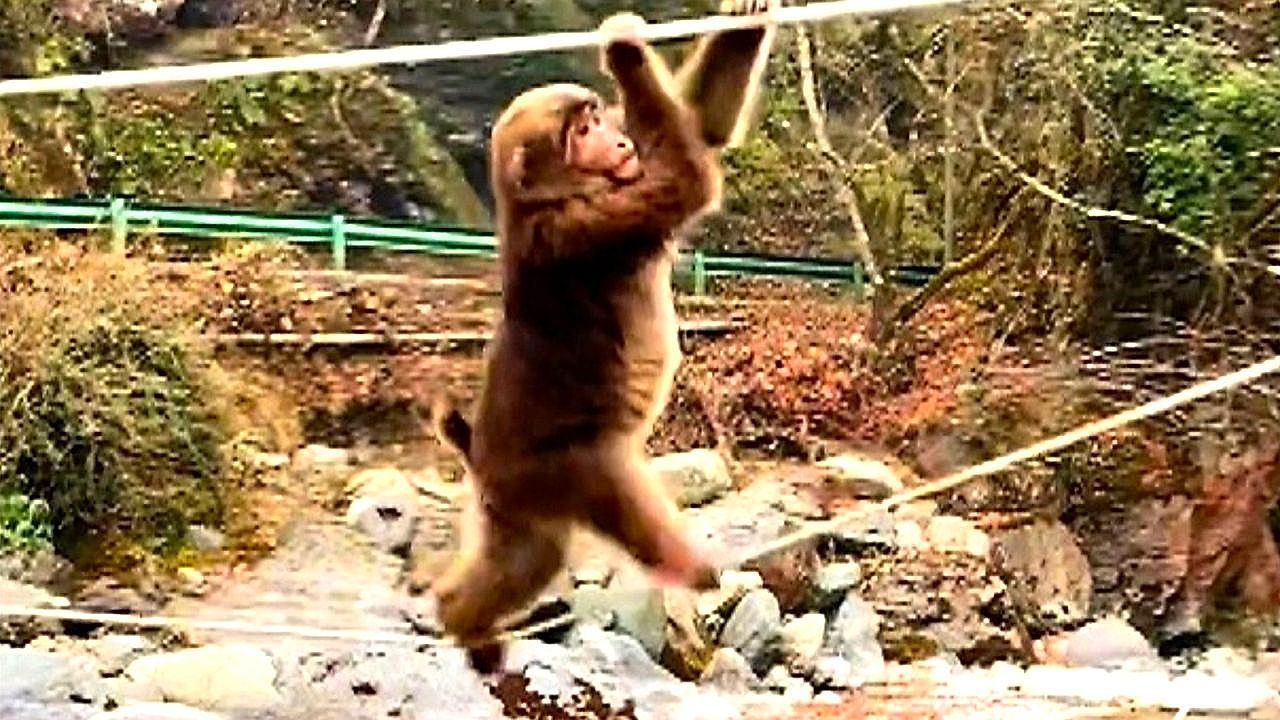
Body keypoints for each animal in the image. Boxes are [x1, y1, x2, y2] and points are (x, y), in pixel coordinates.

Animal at [419, 5, 778, 674]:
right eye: (581, 130)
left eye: (599, 120)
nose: (617, 140)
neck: (553, 194)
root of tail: (478, 449)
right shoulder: (580, 227)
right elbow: (687, 178)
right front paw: (626, 54)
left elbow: (698, 125)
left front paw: (742, 23)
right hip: (551, 470)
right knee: (606, 487)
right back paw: (685, 568)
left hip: (511, 502)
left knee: (524, 558)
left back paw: (462, 621)